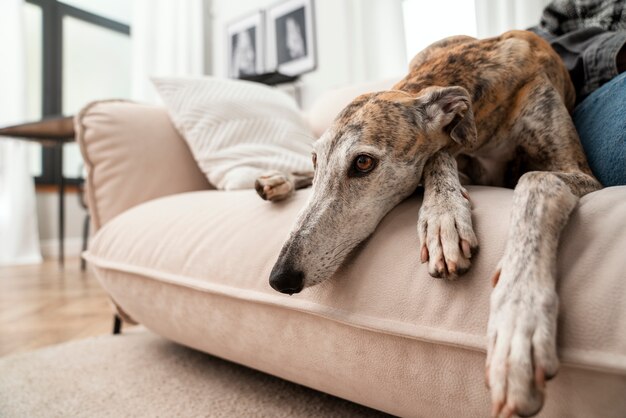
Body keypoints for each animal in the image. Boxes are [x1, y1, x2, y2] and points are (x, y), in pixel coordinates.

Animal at [254, 31, 600, 416]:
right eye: (317, 160)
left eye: (362, 163)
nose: (280, 278)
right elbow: (438, 154)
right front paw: (443, 217)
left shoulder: (579, 172)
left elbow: (536, 179)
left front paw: (517, 323)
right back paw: (276, 179)